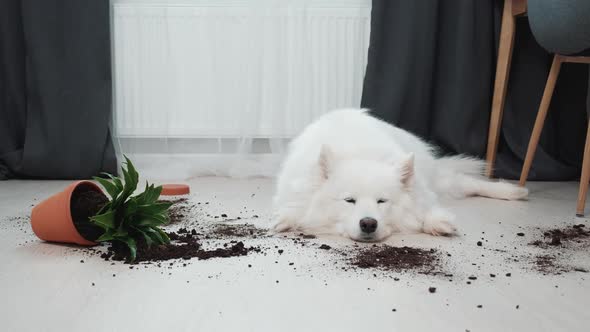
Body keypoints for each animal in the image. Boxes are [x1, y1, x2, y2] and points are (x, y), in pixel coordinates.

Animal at [274, 109, 532, 241]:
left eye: (382, 201)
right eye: (349, 200)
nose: (368, 223)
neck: (361, 153)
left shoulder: (419, 191)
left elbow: (424, 208)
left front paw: (436, 222)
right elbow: (295, 209)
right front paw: (285, 219)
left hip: (436, 179)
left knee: (466, 182)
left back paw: (513, 191)